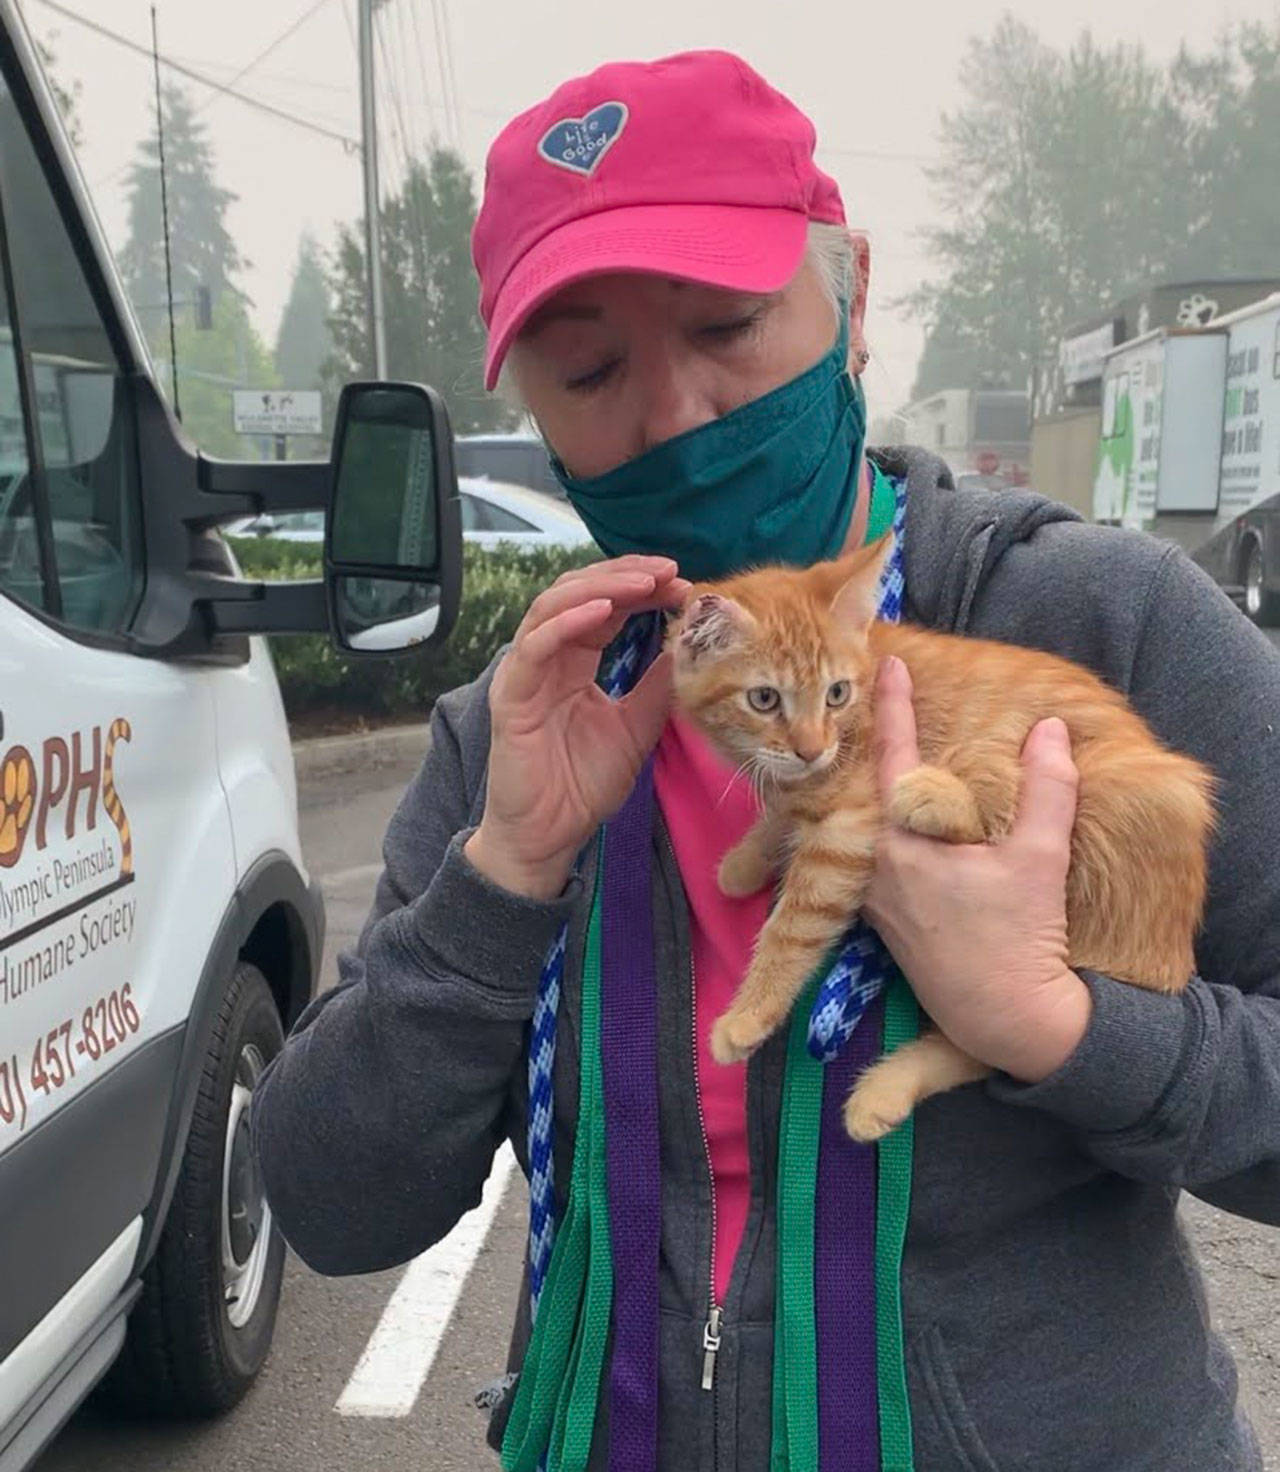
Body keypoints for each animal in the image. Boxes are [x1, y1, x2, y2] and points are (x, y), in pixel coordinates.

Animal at [676, 535, 1218, 1142]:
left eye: (836, 694)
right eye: (765, 699)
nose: (812, 747)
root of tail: (1168, 949)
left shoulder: (848, 829)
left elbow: (796, 925)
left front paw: (748, 1015)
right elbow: (783, 811)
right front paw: (745, 861)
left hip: (1028, 761)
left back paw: (932, 796)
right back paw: (885, 1091)